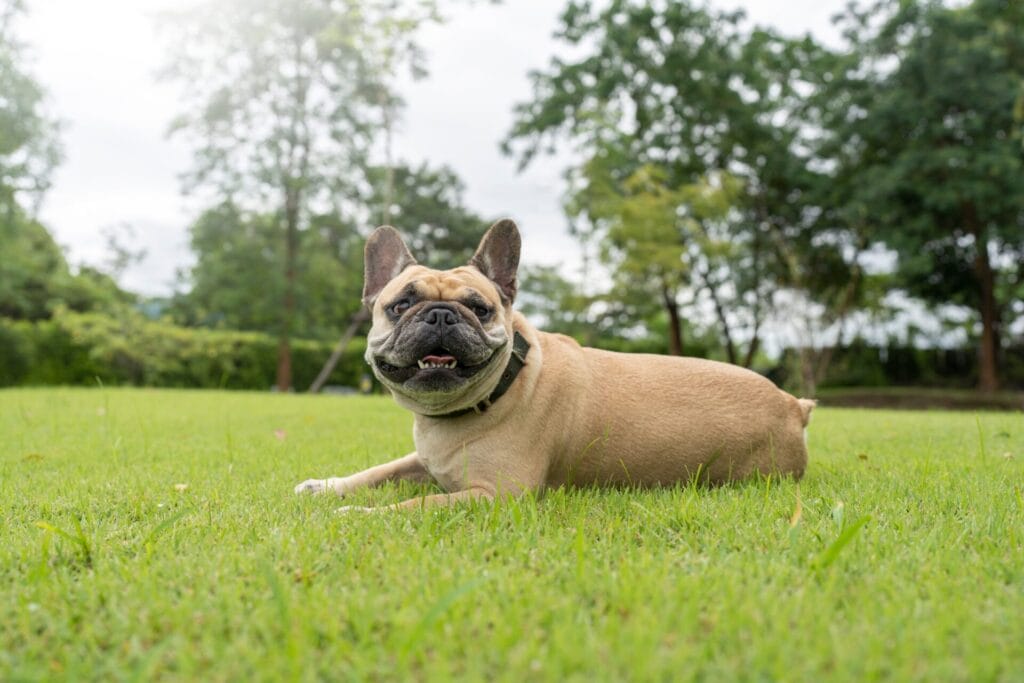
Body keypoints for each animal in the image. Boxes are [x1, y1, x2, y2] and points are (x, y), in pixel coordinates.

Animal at [296, 222, 815, 509]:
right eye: (400, 305)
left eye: (480, 309)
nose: (440, 314)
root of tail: (793, 405)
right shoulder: (420, 462)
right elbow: (376, 472)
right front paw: (326, 487)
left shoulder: (495, 496)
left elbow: (414, 507)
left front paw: (358, 517)